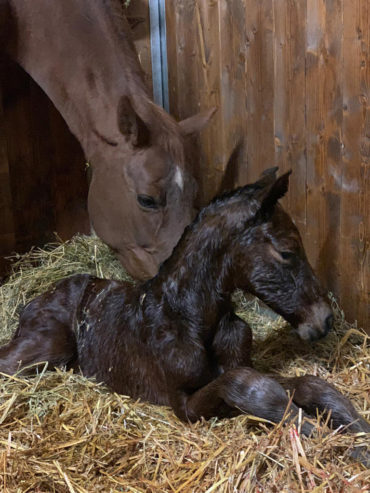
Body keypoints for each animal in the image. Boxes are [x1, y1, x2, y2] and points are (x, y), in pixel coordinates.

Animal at [1, 170, 368, 466]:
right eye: (287, 252)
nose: (325, 319)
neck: (189, 318)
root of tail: (34, 299)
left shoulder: (238, 366)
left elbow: (309, 384)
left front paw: (357, 430)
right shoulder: (183, 404)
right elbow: (249, 386)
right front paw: (326, 436)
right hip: (47, 347)